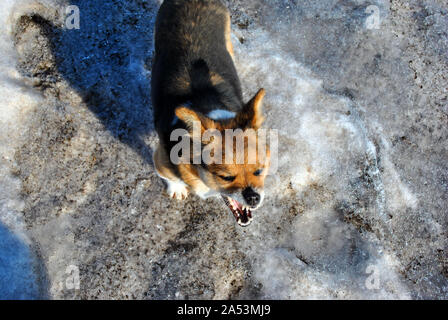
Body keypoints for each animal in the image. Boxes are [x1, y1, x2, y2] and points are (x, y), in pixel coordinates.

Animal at [150, 0, 270, 228]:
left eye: (259, 171)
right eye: (226, 177)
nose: (253, 198)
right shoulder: (161, 160)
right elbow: (170, 177)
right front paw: (177, 188)